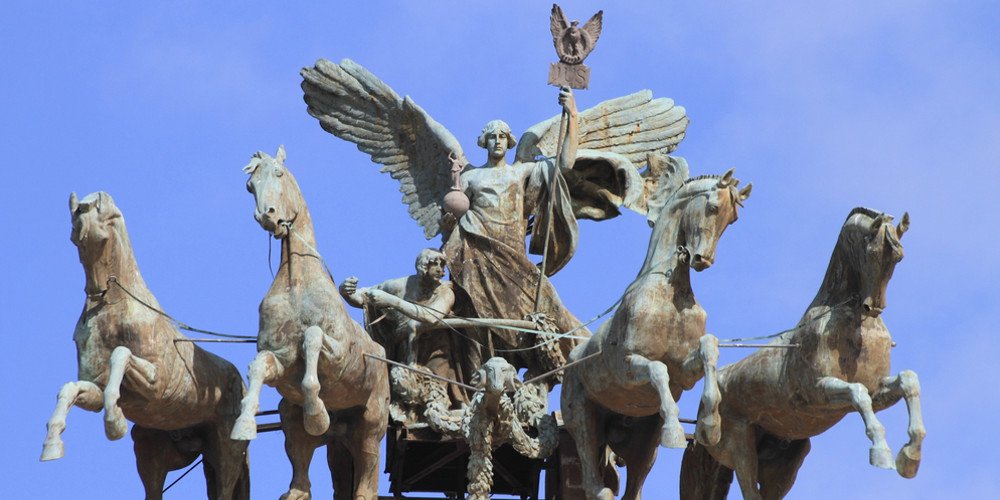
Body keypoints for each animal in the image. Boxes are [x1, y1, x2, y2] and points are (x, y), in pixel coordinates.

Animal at [43, 191, 252, 500]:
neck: (116, 309)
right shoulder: (98, 388)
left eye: (100, 235)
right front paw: (52, 444)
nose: (95, 293)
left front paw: (114, 422)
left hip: (226, 448)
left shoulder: (158, 384)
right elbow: (71, 389)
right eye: (74, 237)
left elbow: (121, 355)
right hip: (152, 449)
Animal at [231, 146, 390, 500]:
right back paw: (296, 490)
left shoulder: (340, 357)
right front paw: (244, 424)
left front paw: (317, 413)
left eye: (278, 173)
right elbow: (260, 366)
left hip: (371, 422)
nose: (268, 216)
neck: (297, 286)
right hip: (293, 416)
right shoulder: (281, 359)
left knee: (367, 468)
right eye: (249, 186)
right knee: (300, 454)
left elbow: (313, 338)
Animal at [564, 157, 752, 500]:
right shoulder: (628, 366)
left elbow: (708, 348)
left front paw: (710, 425)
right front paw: (675, 431)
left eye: (733, 220)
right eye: (713, 207)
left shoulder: (684, 373)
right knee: (594, 479)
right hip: (582, 419)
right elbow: (657, 370)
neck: (669, 293)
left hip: (643, 443)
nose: (702, 259)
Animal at [684, 208, 924, 500]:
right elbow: (858, 394)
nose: (873, 307)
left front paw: (910, 457)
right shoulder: (820, 392)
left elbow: (908, 381)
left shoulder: (877, 390)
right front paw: (882, 453)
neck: (853, 325)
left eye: (898, 257)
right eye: (871, 251)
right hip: (739, 448)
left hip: (787, 459)